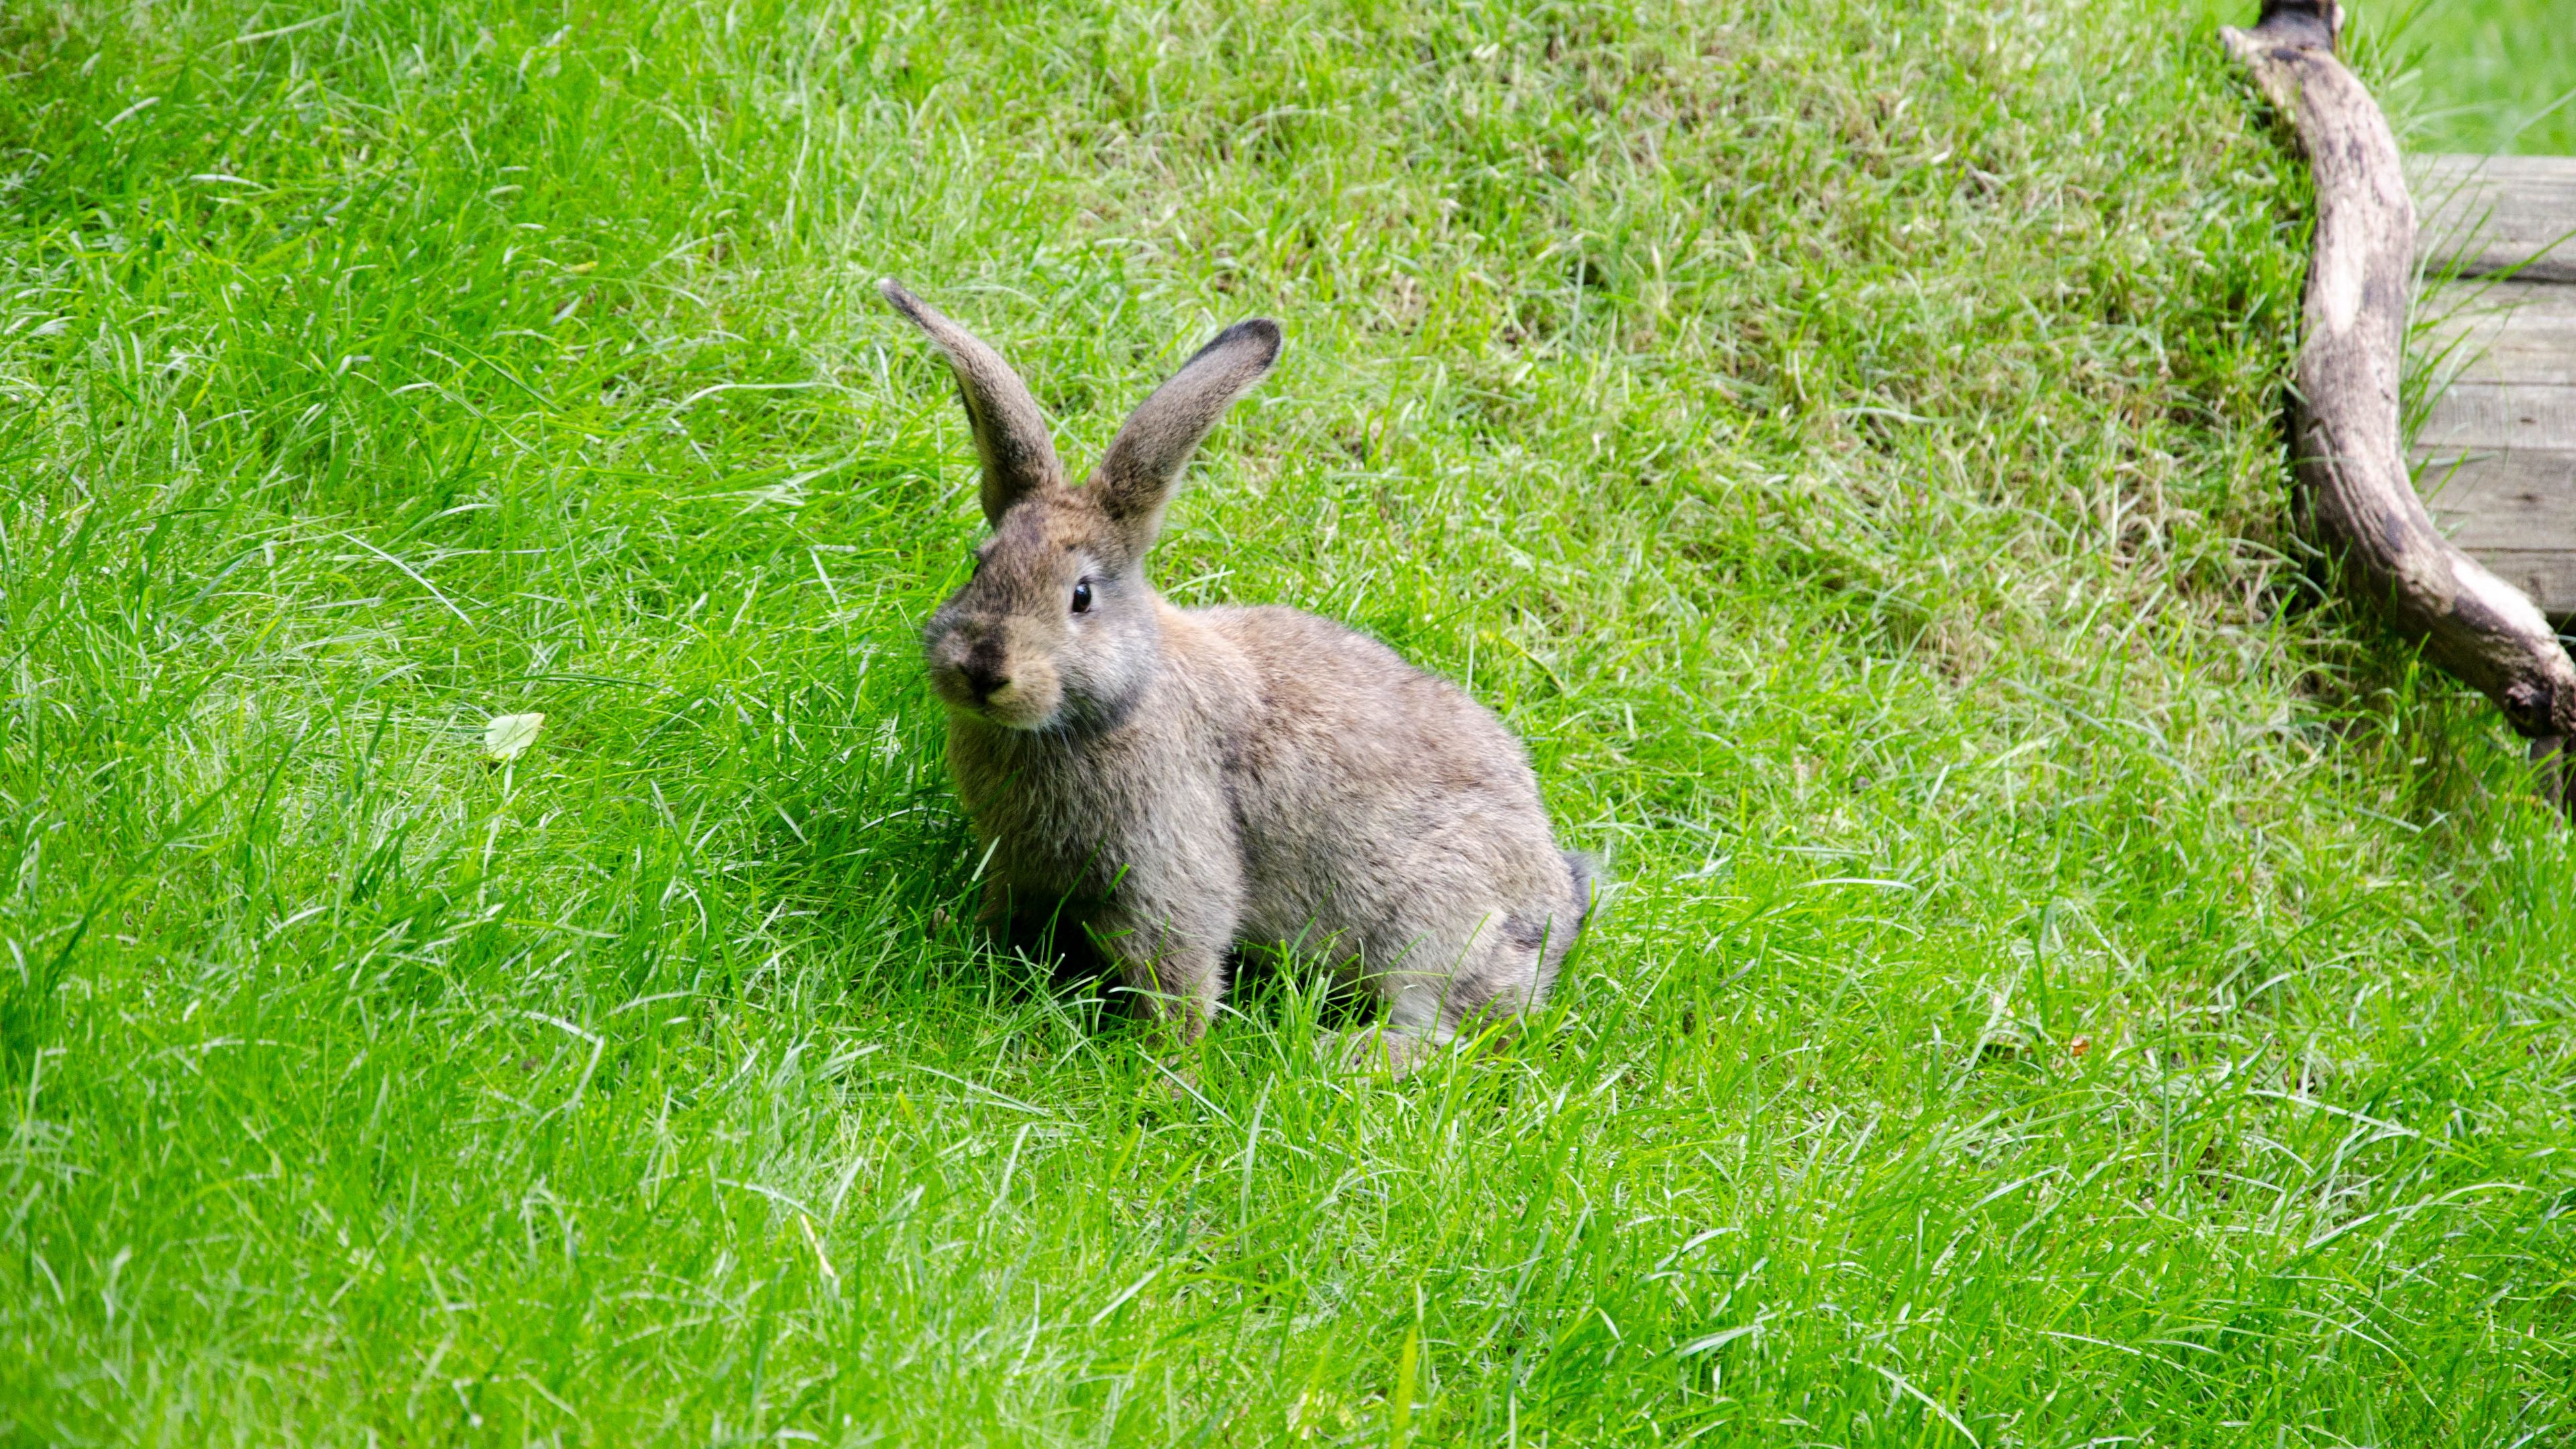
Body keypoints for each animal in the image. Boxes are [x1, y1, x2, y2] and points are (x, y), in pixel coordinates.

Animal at [881, 279, 1594, 1077]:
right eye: (979, 565)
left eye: (1081, 596)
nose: (982, 670)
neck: (1114, 706)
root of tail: (1558, 909)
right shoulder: (1018, 863)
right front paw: (958, 937)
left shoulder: (1172, 864)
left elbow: (1179, 967)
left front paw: (1165, 1068)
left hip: (1436, 926)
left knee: (1447, 1034)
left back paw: (1341, 1053)